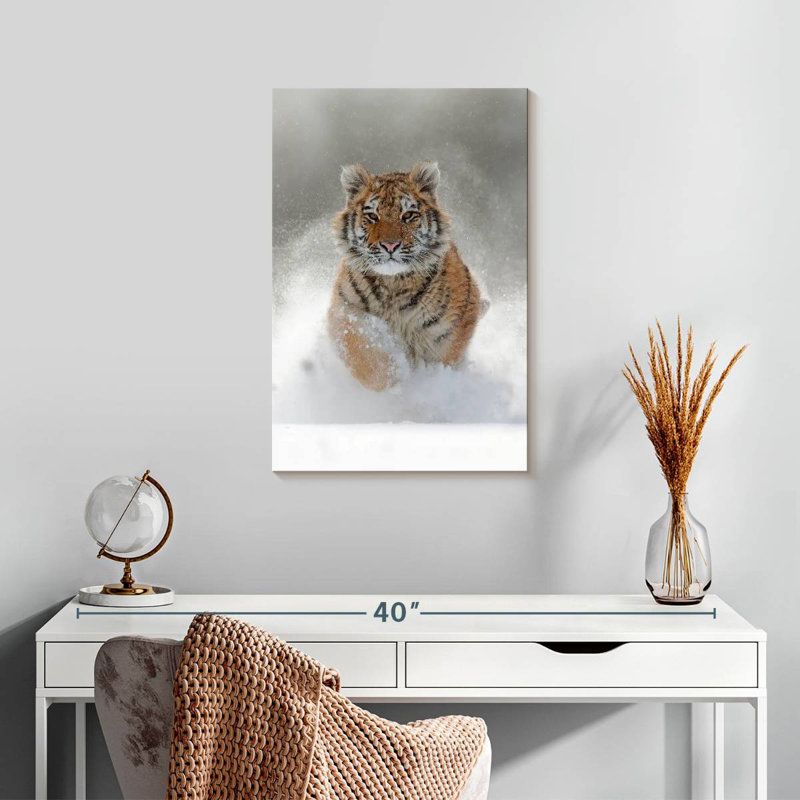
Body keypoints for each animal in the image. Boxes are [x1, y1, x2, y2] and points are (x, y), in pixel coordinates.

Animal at [328, 161, 487, 392]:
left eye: (408, 215)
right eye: (372, 216)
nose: (390, 245)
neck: (393, 284)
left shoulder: (448, 331)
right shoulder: (346, 314)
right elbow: (366, 359)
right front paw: (393, 381)